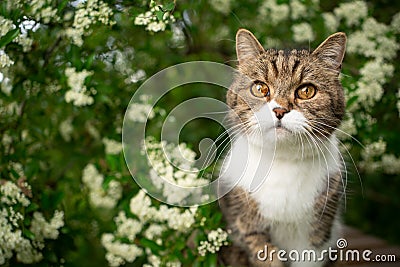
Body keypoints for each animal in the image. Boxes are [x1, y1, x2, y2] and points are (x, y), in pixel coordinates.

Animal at [219, 28, 346, 267]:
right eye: (260, 88)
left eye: (306, 91)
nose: (279, 110)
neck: (282, 161)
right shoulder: (250, 229)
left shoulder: (317, 235)